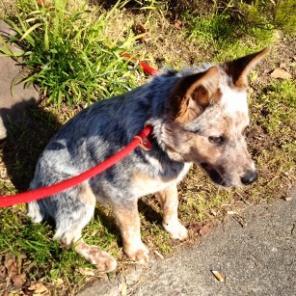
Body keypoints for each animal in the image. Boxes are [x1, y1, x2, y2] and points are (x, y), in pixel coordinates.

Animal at [27, 49, 268, 272]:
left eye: (244, 130)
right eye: (216, 138)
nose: (252, 177)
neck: (153, 138)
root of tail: (35, 182)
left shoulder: (167, 181)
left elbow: (171, 205)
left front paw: (173, 228)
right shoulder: (120, 194)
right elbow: (132, 224)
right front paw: (135, 251)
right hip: (81, 196)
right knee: (64, 236)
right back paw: (100, 257)